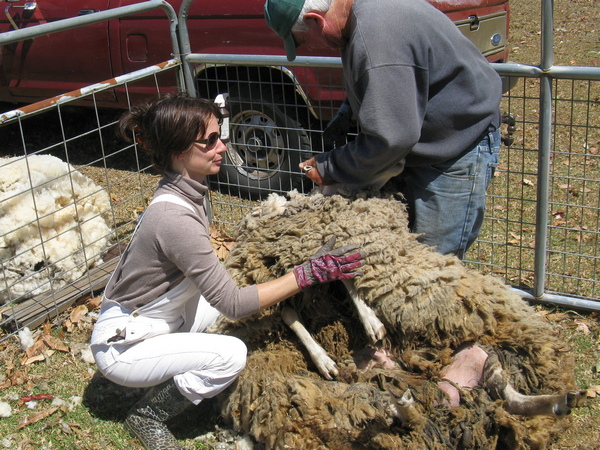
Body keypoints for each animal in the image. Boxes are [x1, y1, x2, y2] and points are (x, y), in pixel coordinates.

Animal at [210, 185, 584, 448]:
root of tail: (448, 394)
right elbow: (300, 305)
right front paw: (328, 355)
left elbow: (343, 277)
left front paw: (369, 320)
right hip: (372, 402)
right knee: (405, 415)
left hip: (482, 359)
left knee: (503, 393)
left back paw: (549, 398)